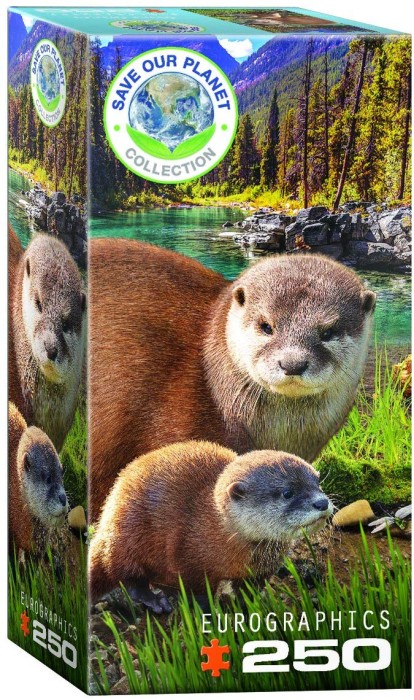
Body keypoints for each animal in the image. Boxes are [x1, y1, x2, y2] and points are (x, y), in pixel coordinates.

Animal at [89, 441, 332, 612]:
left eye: (318, 482)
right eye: (287, 492)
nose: (322, 502)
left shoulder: (261, 571)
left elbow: (251, 590)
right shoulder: (188, 557)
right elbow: (197, 591)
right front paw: (209, 611)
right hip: (128, 533)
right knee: (124, 573)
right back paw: (155, 600)